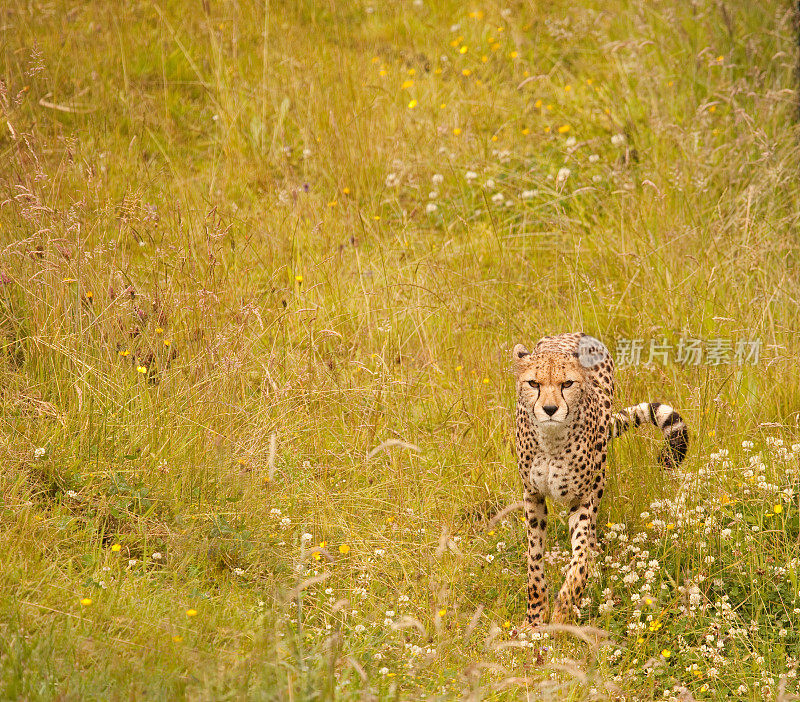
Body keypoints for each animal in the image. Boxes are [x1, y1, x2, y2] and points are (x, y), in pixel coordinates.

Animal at [512, 334, 688, 628]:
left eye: (567, 383)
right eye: (534, 383)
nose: (550, 409)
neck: (551, 441)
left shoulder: (583, 498)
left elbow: (581, 557)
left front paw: (564, 608)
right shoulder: (532, 494)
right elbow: (534, 562)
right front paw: (535, 618)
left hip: (600, 477)